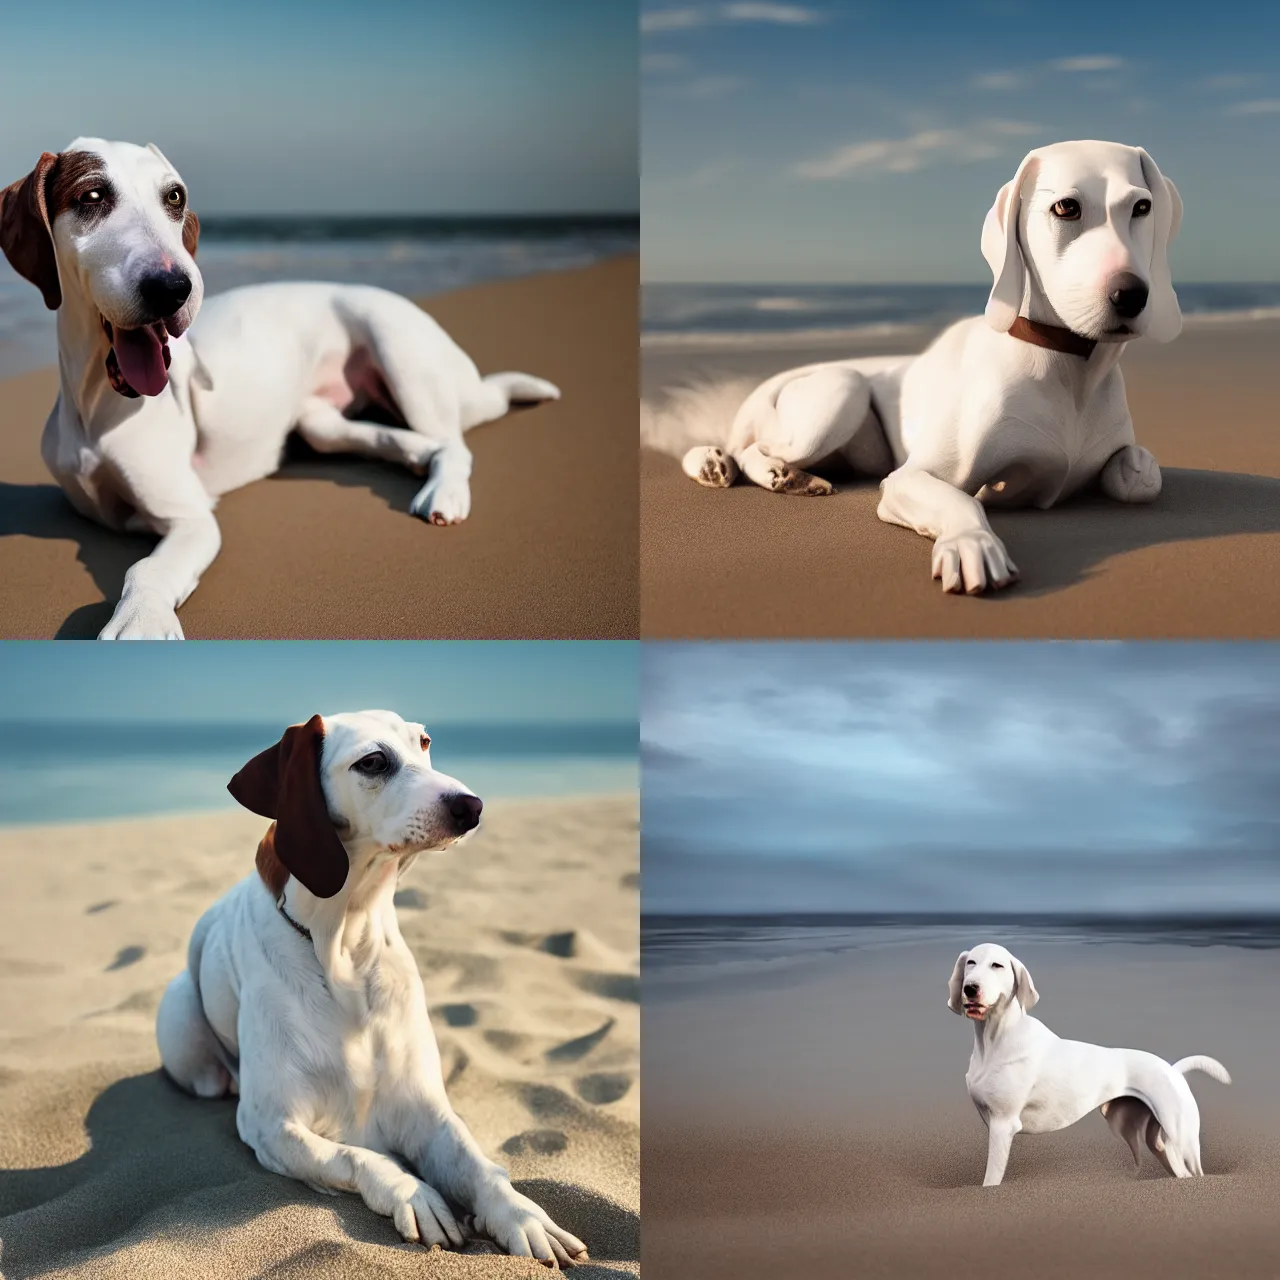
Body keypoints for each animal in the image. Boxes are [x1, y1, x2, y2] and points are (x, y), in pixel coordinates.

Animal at [1, 140, 560, 640]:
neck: (94, 403)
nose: (175, 288)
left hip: (402, 359)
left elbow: (146, 569)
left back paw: (446, 492)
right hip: (321, 427)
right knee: (410, 444)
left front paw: (141, 622)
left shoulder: (192, 517)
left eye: (174, 197)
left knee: (455, 442)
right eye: (92, 196)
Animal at [156, 711, 588, 1269]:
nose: (472, 806)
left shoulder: (428, 1108)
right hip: (186, 1031)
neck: (344, 943)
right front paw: (412, 1192)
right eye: (374, 762)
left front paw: (520, 1214)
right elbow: (355, 1153)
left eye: (424, 742)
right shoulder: (272, 1123)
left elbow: (478, 1164)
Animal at [650, 137, 1187, 596]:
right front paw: (973, 543)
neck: (1069, 368)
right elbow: (963, 499)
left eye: (1142, 207)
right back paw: (753, 469)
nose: (1131, 295)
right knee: (746, 448)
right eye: (1066, 208)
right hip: (839, 392)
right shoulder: (908, 478)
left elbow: (1142, 475)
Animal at [952, 942, 1228, 1187]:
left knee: (1195, 1171)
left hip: (1183, 1139)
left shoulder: (1003, 1124)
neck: (994, 1040)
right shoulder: (992, 1123)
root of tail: (1173, 1069)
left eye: (997, 965)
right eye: (970, 963)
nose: (970, 988)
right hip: (1157, 1141)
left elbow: (990, 1181)